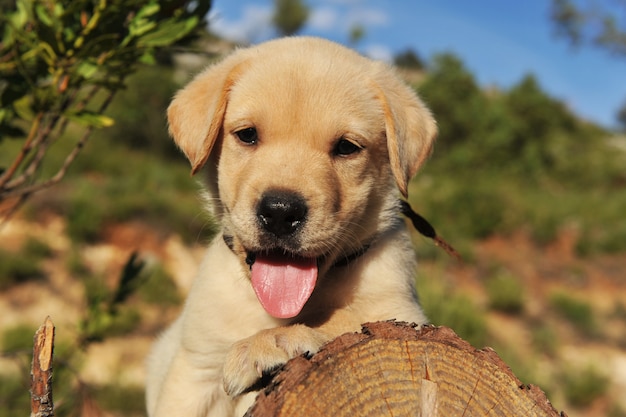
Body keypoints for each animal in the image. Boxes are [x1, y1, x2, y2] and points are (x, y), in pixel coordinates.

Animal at [147, 36, 436, 416]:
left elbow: (349, 320)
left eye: (346, 147)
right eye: (247, 135)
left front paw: (268, 343)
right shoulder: (193, 370)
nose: (281, 212)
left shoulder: (403, 312)